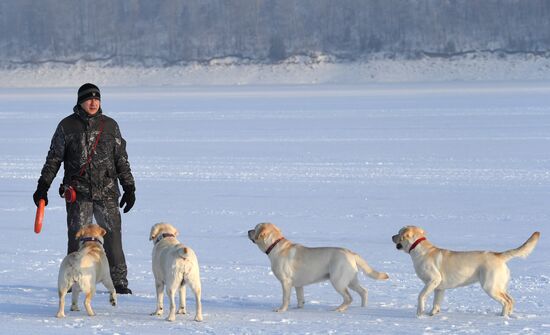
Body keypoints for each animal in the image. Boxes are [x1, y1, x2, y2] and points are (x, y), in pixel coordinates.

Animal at [248, 223, 390, 312]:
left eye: (255, 228)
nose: (248, 231)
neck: (275, 246)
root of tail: (351, 253)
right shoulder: (298, 285)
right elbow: (300, 298)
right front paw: (298, 308)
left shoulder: (286, 282)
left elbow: (285, 298)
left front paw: (281, 310)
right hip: (351, 281)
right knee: (364, 292)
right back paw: (362, 308)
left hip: (338, 281)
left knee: (349, 298)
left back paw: (338, 309)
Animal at [392, 226, 544, 318]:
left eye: (399, 233)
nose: (392, 236)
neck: (418, 249)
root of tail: (498, 255)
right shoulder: (439, 288)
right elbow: (436, 302)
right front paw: (433, 314)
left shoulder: (433, 280)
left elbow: (421, 296)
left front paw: (419, 313)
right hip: (500, 285)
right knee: (511, 299)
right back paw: (507, 315)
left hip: (490, 286)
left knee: (506, 301)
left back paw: (502, 316)